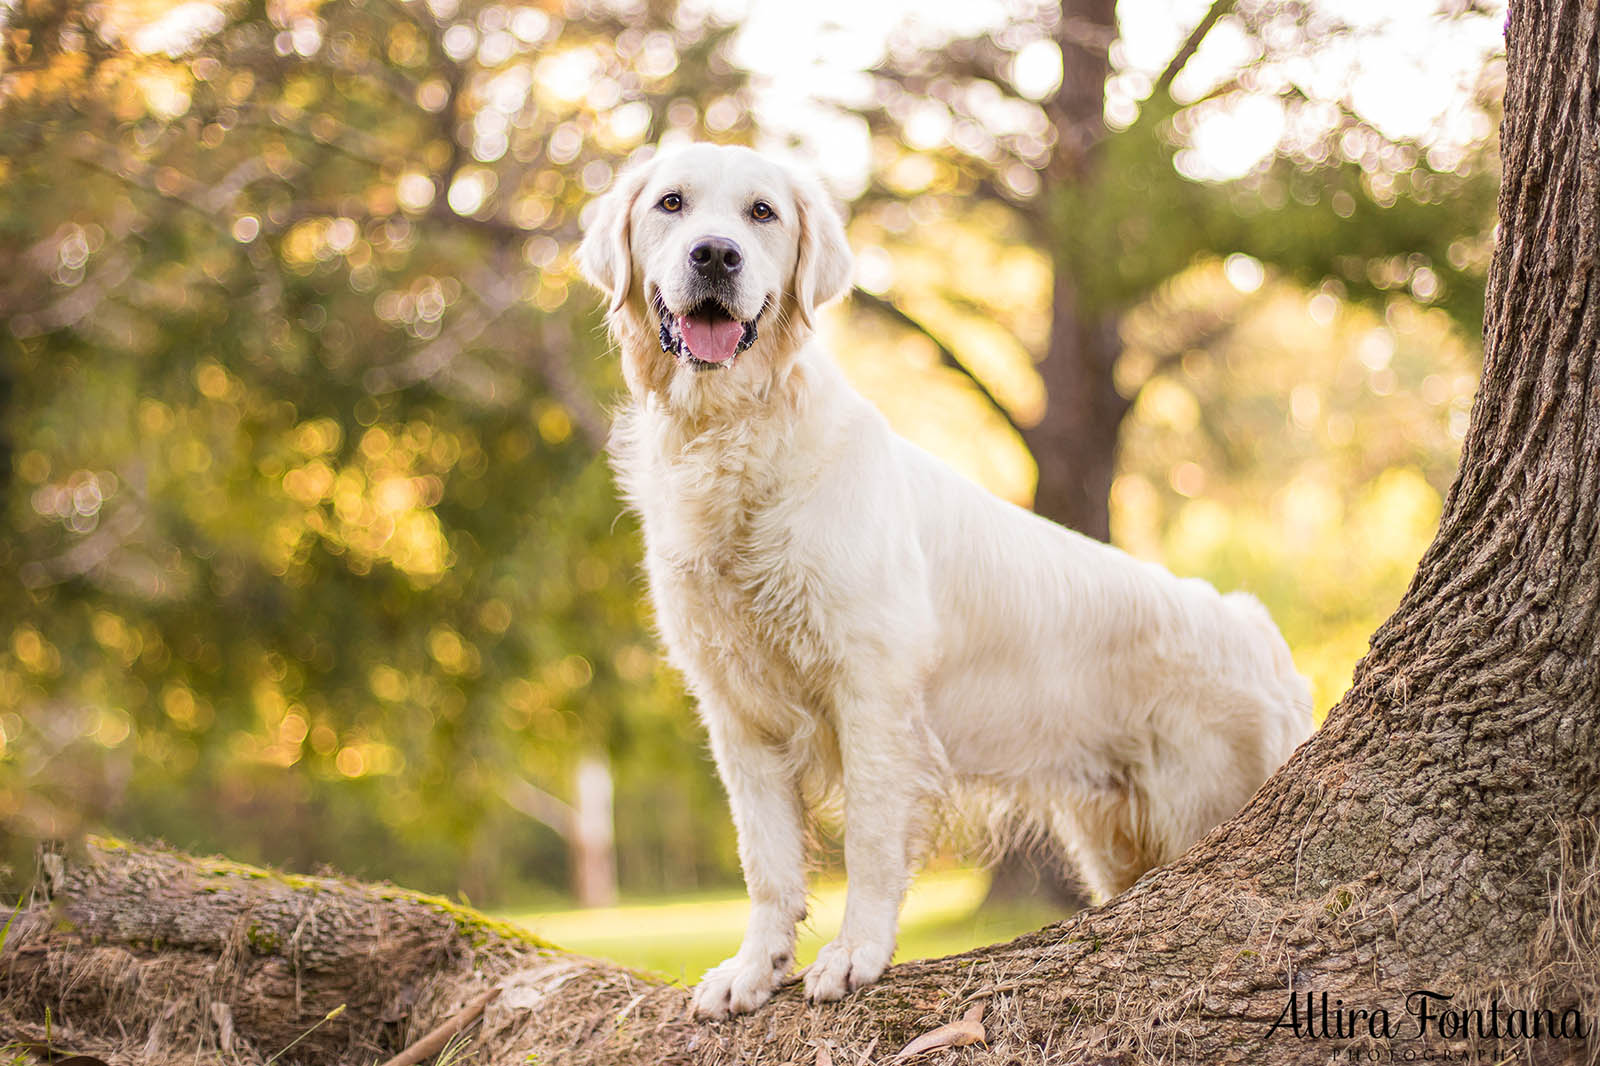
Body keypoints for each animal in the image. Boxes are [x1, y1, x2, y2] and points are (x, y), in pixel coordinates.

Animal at [582, 140, 1305, 1011]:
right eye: (672, 204)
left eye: (762, 213)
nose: (715, 255)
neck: (734, 434)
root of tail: (1255, 627)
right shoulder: (738, 710)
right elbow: (765, 860)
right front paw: (754, 969)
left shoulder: (871, 691)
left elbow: (867, 839)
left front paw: (854, 954)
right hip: (1118, 842)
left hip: (1202, 801)